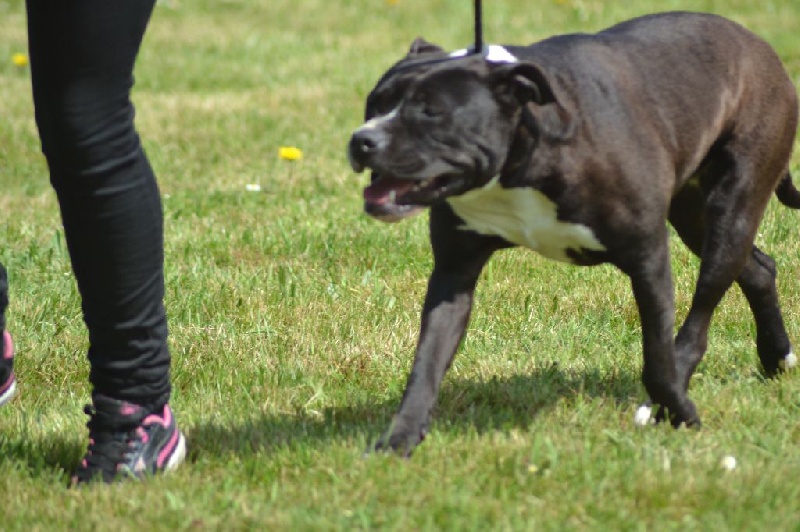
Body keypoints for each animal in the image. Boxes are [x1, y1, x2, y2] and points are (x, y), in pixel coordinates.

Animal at [346, 11, 796, 454]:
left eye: (431, 111)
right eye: (374, 103)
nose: (362, 139)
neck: (519, 159)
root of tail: (756, 43)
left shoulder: (647, 260)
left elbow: (657, 359)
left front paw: (681, 414)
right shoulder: (453, 273)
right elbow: (426, 363)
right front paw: (398, 440)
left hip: (732, 206)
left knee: (701, 313)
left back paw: (664, 401)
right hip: (693, 217)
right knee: (758, 269)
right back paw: (777, 356)